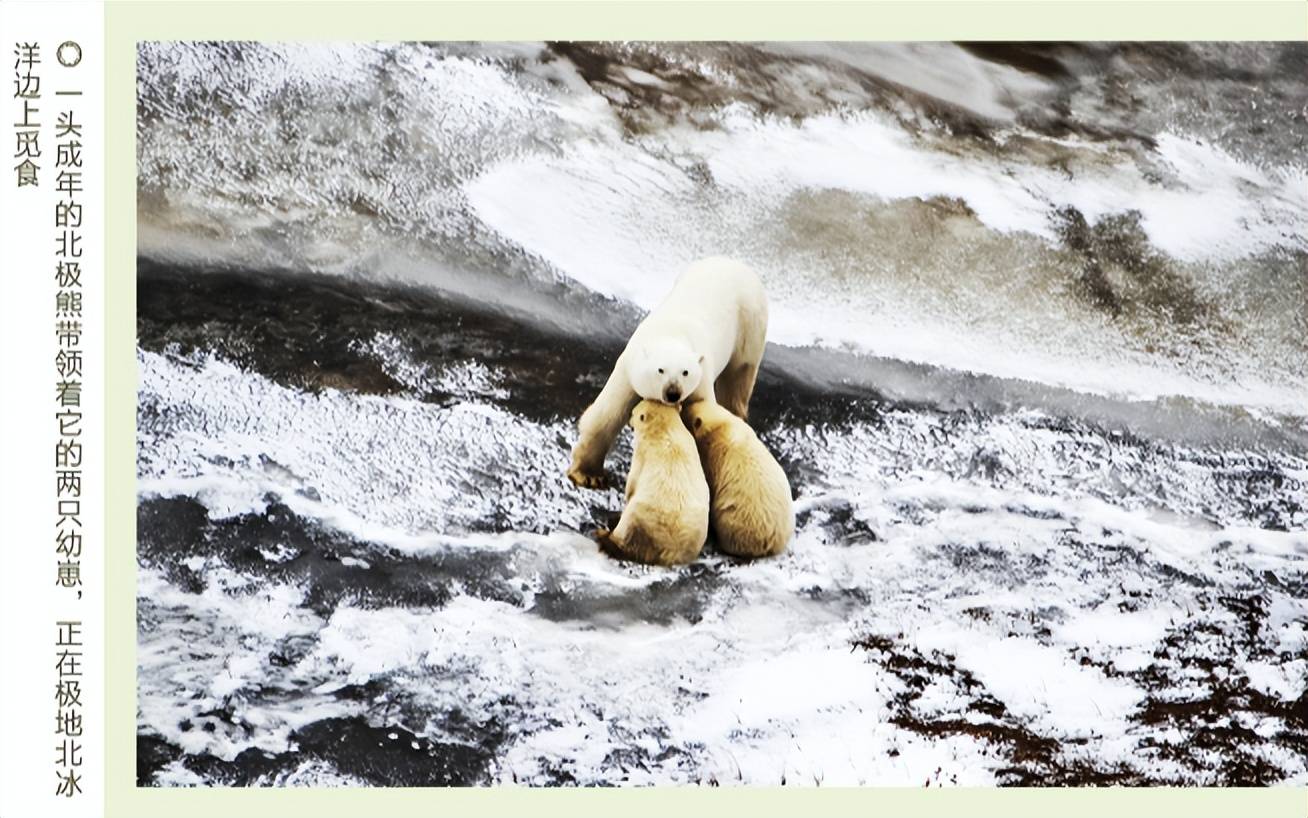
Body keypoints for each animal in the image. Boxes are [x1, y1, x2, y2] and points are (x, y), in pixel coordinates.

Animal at [570, 256, 769, 484]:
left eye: (686, 372)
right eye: (660, 370)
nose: (673, 393)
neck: (671, 333)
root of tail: (736, 263)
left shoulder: (699, 380)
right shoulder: (629, 368)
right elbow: (606, 414)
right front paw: (588, 475)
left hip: (749, 326)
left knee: (737, 380)